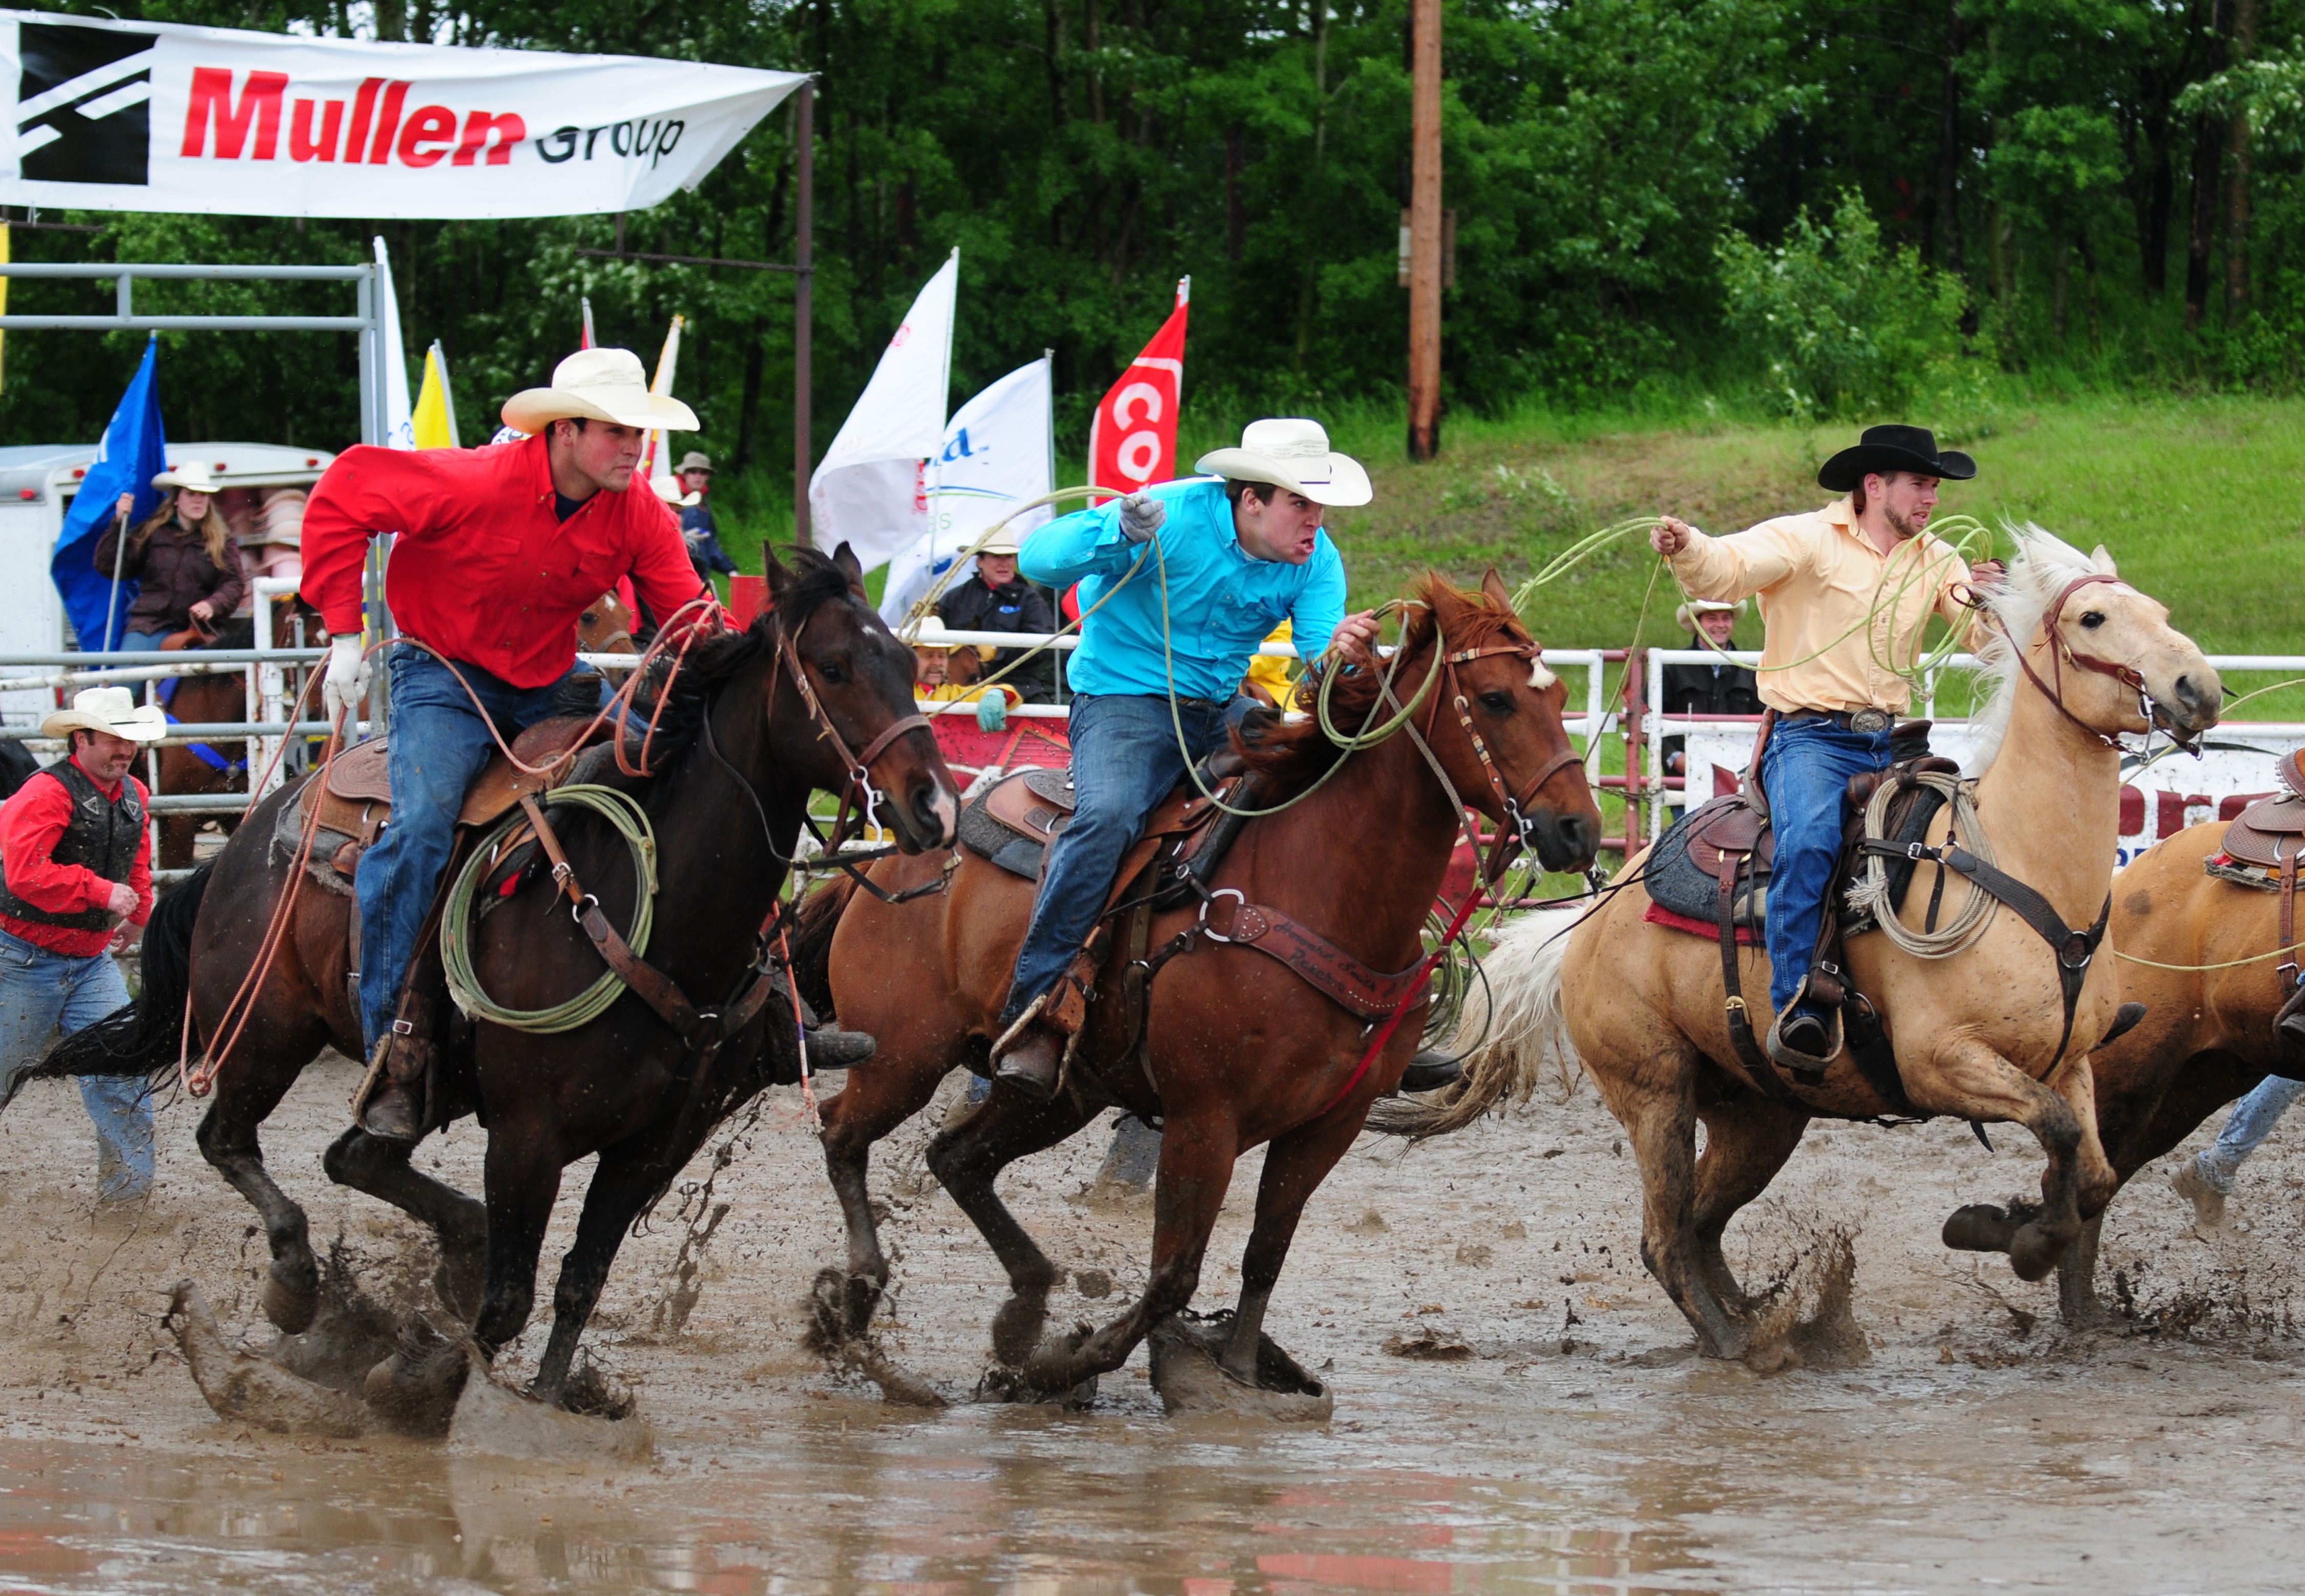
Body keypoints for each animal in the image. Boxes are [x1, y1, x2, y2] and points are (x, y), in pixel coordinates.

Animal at [25, 549, 954, 1411]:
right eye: (832, 666)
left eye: (905, 663)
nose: (935, 806)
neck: (650, 906)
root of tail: (243, 842)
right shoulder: (525, 1137)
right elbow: (509, 1301)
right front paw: (437, 1390)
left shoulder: (651, 1145)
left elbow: (578, 1283)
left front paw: (544, 1397)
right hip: (264, 1033)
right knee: (230, 1140)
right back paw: (296, 1283)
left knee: (352, 1155)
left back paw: (437, 1252)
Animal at [802, 570, 1595, 1393]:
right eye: (1497, 699)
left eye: (1561, 694)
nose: (1580, 830)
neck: (1323, 890)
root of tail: (894, 863)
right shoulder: (1204, 1119)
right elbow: (1174, 1273)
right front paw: (1074, 1361)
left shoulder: (1329, 1124)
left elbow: (1265, 1255)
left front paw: (1240, 1370)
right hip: (903, 1056)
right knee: (842, 1132)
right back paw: (855, 1306)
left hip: (1061, 1092)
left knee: (957, 1159)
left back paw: (1021, 1313)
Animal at [1374, 533, 2222, 1356]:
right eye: (2093, 620)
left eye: (2157, 609)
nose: (2198, 689)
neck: (2018, 864)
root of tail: (1592, 917)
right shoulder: (1940, 1061)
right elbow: (2060, 1133)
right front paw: (2013, 1237)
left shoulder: (2070, 1060)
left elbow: (2092, 1169)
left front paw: (2012, 1225)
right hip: (1655, 1090)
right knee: (1665, 1238)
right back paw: (1738, 1344)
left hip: (1761, 1114)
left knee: (1703, 1223)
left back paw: (1759, 1317)